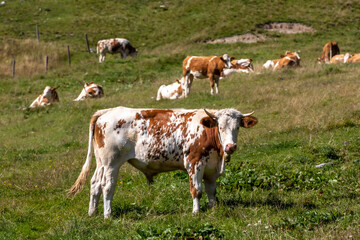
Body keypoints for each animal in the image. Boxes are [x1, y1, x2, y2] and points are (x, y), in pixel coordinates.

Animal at [67, 106, 258, 218]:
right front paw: (196, 212)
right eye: (220, 126)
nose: (230, 146)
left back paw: (93, 212)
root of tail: (106, 111)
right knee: (107, 186)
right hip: (111, 163)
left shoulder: (211, 167)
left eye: (237, 127)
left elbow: (211, 191)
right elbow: (197, 190)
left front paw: (213, 209)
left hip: (101, 162)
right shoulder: (194, 163)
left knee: (95, 184)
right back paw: (108, 215)